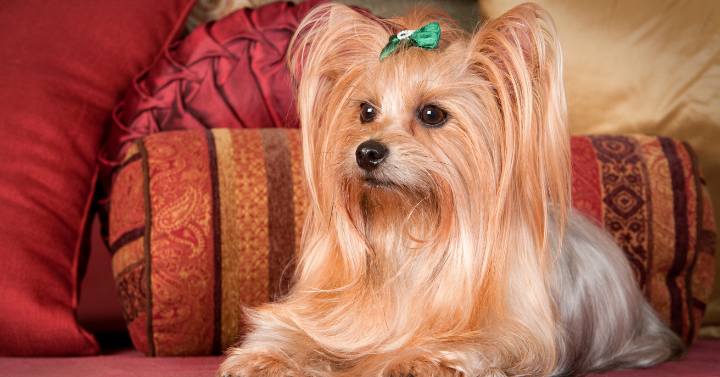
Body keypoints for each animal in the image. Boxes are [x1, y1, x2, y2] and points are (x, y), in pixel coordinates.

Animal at [217, 2, 684, 376]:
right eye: (365, 111)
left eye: (432, 114)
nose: (367, 151)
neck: (405, 227)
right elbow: (292, 332)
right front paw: (265, 357)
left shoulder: (515, 338)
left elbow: (467, 346)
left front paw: (414, 359)